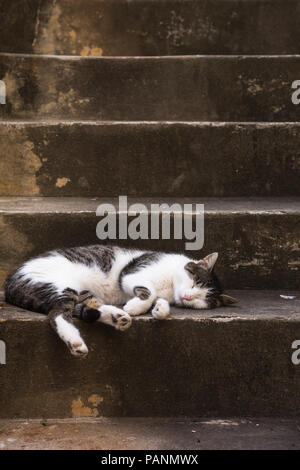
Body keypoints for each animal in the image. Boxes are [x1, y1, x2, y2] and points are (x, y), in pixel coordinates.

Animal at [2, 246, 237, 356]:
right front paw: (137, 306)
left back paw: (117, 318)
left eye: (202, 300)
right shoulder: (132, 273)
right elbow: (149, 291)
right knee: (58, 313)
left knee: (88, 307)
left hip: (81, 291)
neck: (170, 287)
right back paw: (76, 342)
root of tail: (10, 282)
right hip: (58, 285)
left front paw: (159, 310)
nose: (187, 296)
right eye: (196, 282)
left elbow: (161, 303)